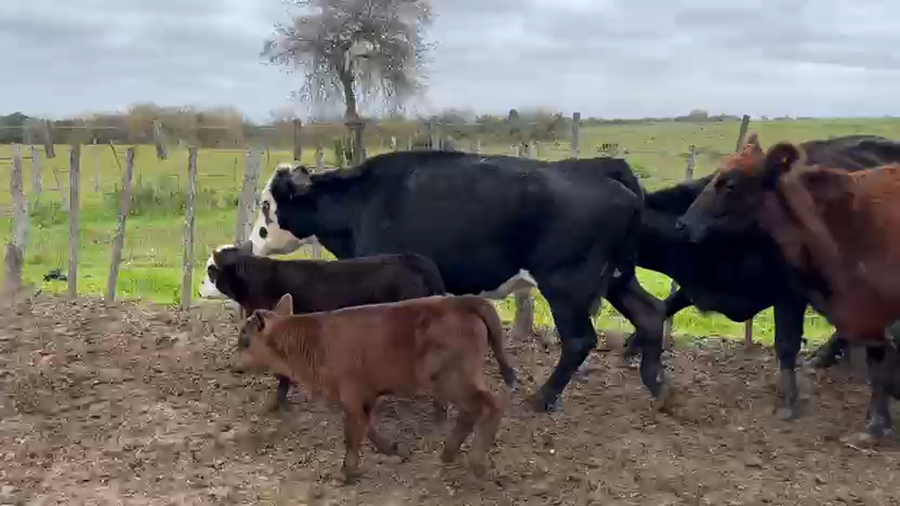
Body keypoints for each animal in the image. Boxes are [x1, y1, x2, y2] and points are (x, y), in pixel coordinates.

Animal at [236, 293, 515, 482]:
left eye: (245, 339)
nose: (234, 364)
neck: (314, 339)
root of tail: (461, 301)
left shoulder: (351, 396)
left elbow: (352, 434)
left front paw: (345, 472)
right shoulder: (366, 396)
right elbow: (368, 427)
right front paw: (393, 449)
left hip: (451, 381)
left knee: (490, 406)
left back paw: (477, 462)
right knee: (472, 412)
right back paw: (448, 454)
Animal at [245, 152, 671, 413]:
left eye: (266, 205)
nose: (251, 242)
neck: (362, 203)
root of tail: (598, 168)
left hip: (568, 286)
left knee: (581, 340)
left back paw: (542, 398)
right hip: (617, 278)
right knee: (652, 313)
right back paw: (657, 384)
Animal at [624, 134, 900, 420]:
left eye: (730, 185)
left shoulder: (790, 293)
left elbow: (786, 345)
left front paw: (789, 400)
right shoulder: (700, 285)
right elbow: (666, 305)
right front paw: (635, 345)